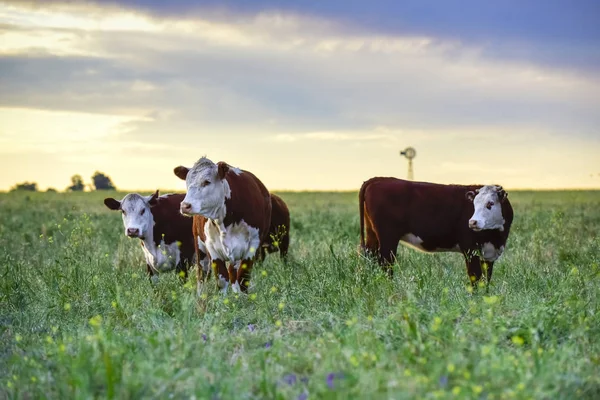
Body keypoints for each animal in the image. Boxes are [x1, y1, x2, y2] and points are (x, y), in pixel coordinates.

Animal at [173, 157, 272, 294]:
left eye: (207, 182)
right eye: (187, 182)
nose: (185, 206)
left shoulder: (253, 245)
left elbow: (242, 278)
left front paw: (242, 297)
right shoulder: (212, 248)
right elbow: (221, 279)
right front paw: (222, 299)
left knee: (233, 273)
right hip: (200, 246)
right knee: (202, 273)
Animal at [358, 177, 512, 286]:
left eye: (490, 203)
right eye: (474, 204)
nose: (472, 222)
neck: (496, 237)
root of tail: (379, 179)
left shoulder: (489, 254)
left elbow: (486, 280)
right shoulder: (470, 249)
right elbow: (475, 277)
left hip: (372, 233)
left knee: (371, 256)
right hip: (388, 238)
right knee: (385, 263)